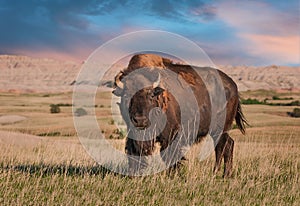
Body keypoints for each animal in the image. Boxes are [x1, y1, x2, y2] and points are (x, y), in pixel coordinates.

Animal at [112, 53, 246, 177]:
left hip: (221, 129)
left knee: (222, 147)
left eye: (151, 95)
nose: (140, 120)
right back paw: (223, 174)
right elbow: (134, 151)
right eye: (126, 95)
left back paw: (219, 173)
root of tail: (233, 85)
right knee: (228, 145)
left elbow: (169, 155)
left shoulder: (171, 134)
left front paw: (172, 175)